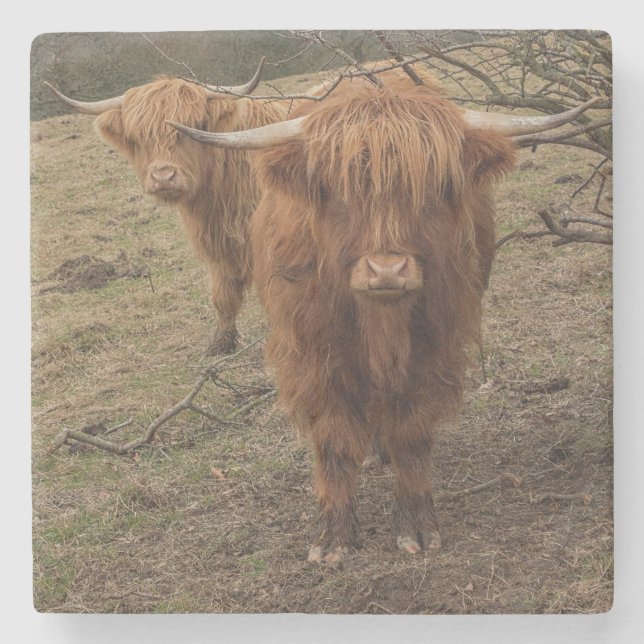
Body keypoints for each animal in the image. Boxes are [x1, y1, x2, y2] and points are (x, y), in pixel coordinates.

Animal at [45, 59, 287, 355]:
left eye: (193, 126)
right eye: (138, 136)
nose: (163, 177)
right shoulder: (219, 246)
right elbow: (222, 296)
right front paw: (221, 343)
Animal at [169, 71, 600, 562]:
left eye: (435, 187)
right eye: (337, 189)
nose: (387, 270)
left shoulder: (434, 349)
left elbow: (411, 434)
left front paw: (417, 524)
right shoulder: (313, 355)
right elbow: (334, 440)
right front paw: (334, 536)